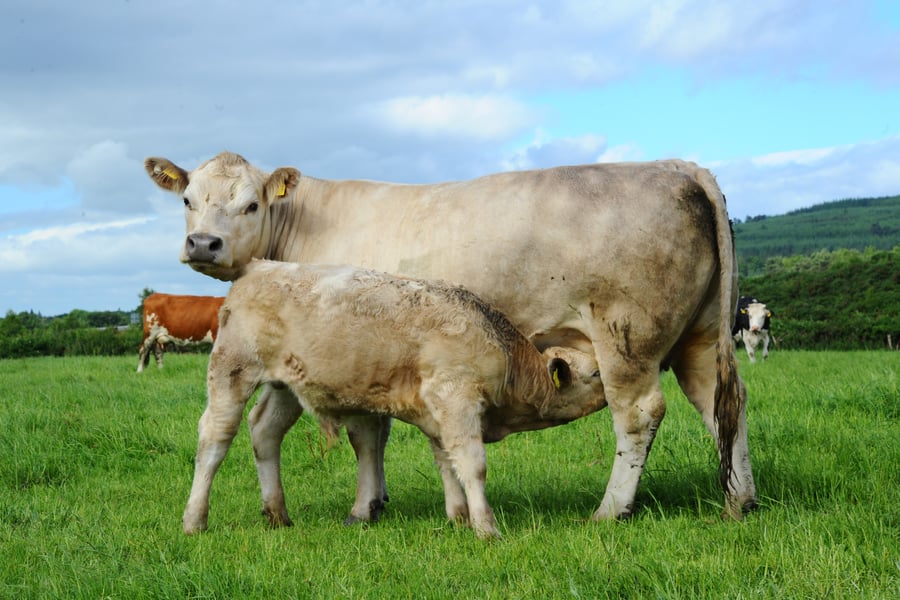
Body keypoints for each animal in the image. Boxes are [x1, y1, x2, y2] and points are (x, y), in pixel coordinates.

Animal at [183, 259, 606, 538]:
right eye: (597, 374)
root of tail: (258, 266)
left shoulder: (437, 413)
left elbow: (446, 462)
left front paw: (457, 517)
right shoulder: (456, 398)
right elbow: (472, 465)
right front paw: (486, 528)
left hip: (283, 386)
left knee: (265, 433)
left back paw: (277, 514)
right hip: (232, 370)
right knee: (215, 438)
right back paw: (194, 519)